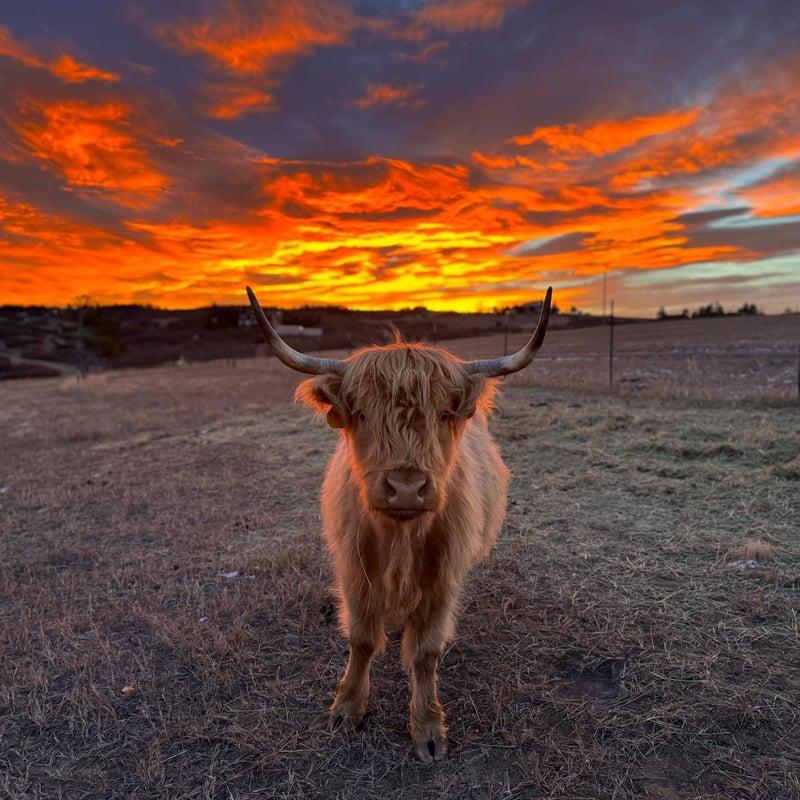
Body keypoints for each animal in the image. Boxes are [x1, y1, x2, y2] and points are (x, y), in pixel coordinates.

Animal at [247, 285, 552, 762]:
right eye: (360, 413)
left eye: (444, 414)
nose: (406, 488)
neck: (400, 540)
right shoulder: (354, 573)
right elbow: (361, 640)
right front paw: (347, 708)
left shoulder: (443, 582)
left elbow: (425, 653)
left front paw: (426, 727)